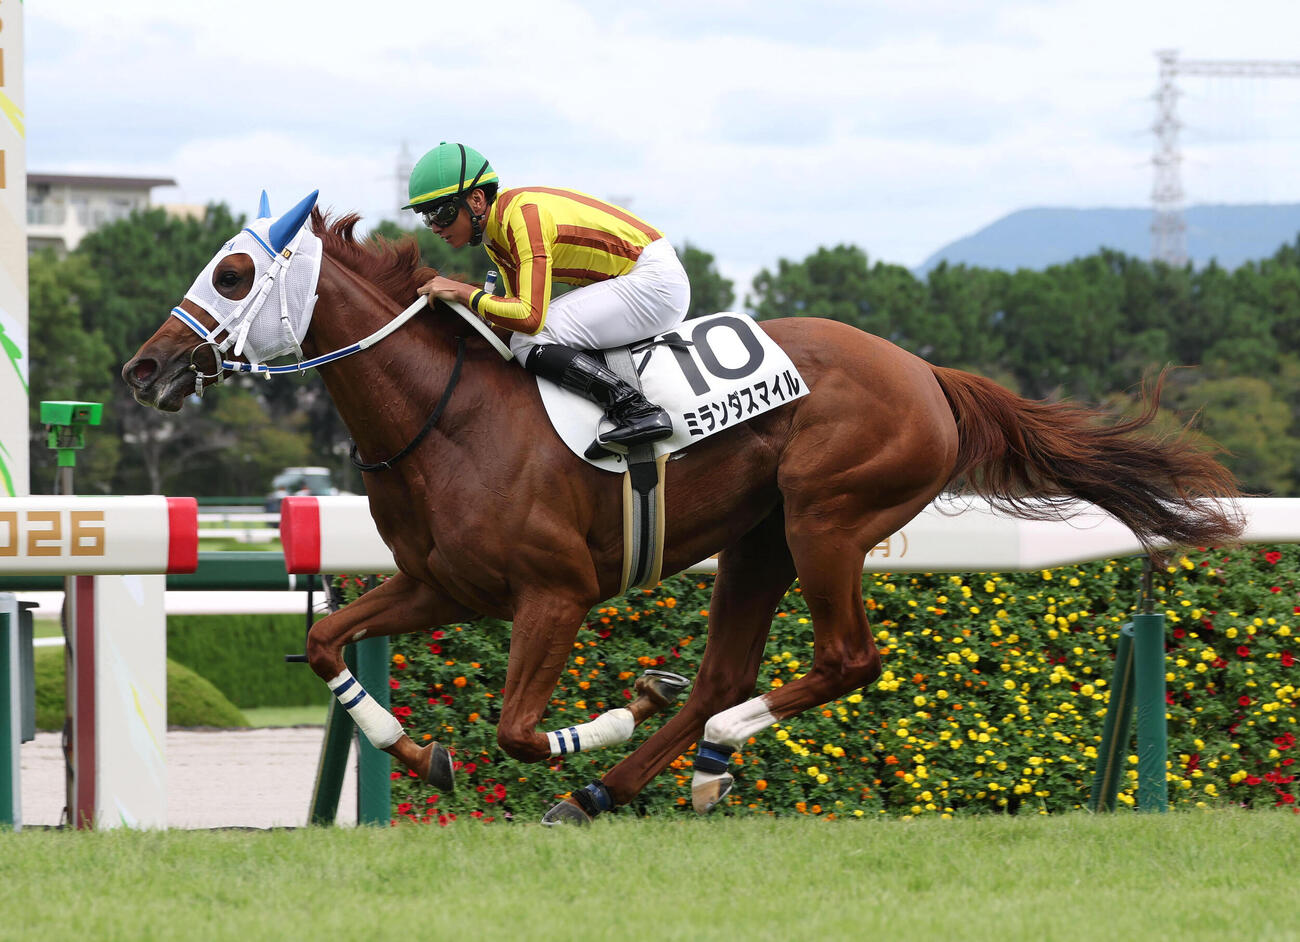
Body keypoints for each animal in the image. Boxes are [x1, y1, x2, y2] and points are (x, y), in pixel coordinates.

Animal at [122, 192, 1243, 824]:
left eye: (233, 271)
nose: (144, 369)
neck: (447, 415)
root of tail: (926, 372)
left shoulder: (555, 594)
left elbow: (518, 729)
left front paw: (616, 709)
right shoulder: (444, 582)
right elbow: (327, 646)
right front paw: (417, 751)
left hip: (827, 518)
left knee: (842, 661)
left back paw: (702, 758)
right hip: (760, 542)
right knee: (725, 671)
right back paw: (616, 785)